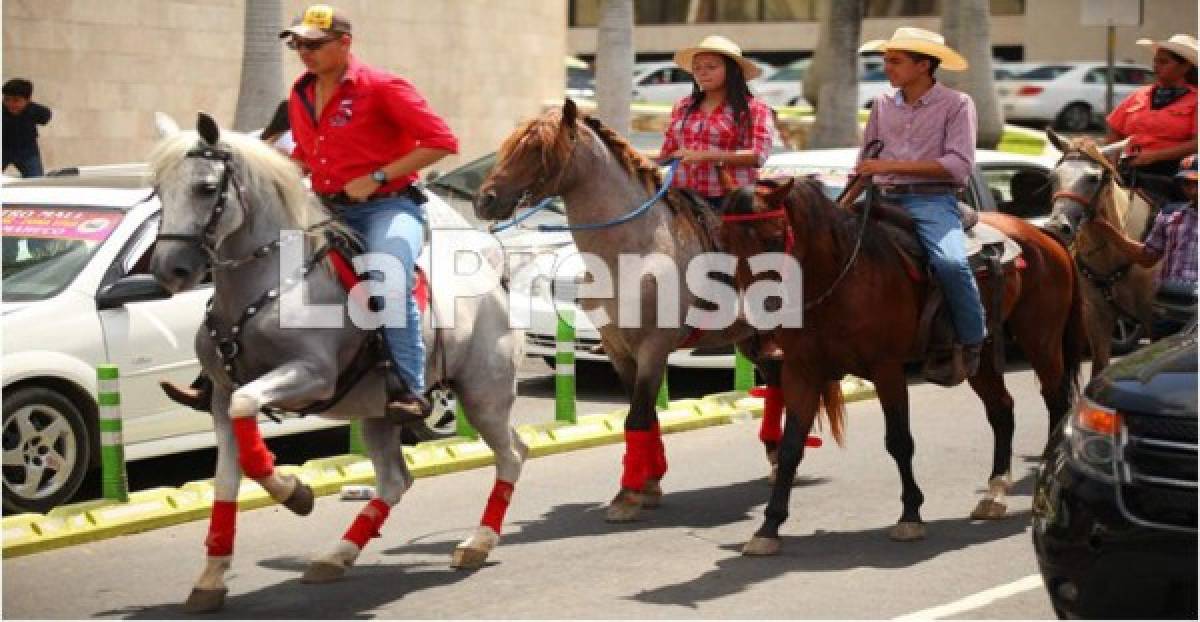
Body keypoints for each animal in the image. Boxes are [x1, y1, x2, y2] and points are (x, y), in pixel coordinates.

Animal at [148, 113, 525, 614]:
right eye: (157, 190)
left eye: (206, 188)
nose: (168, 270)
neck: (267, 287)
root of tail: (491, 271)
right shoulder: (220, 396)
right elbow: (226, 482)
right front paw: (211, 578)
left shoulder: (312, 374)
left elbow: (250, 415)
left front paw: (293, 491)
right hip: (378, 411)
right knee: (395, 481)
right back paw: (337, 554)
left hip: (485, 395)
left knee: (511, 457)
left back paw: (477, 543)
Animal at [468, 100, 835, 523]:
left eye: (536, 149)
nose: (484, 200)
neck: (634, 250)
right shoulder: (618, 349)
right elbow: (644, 416)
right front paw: (650, 483)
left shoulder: (653, 348)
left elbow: (638, 416)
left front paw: (628, 494)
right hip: (748, 337)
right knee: (774, 383)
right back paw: (775, 456)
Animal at [715, 176, 1094, 557]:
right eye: (725, 244)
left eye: (773, 238)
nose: (756, 316)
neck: (841, 277)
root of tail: (1041, 234)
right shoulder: (801, 372)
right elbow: (791, 447)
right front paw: (768, 527)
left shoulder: (886, 369)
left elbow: (899, 440)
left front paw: (910, 515)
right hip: (982, 356)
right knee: (1002, 410)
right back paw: (995, 493)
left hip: (1042, 342)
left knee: (1056, 404)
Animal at [1046, 129, 1156, 377]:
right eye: (1053, 177)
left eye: (1093, 178)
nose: (1057, 226)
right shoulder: (1097, 318)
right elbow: (1099, 368)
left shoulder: (1155, 316)